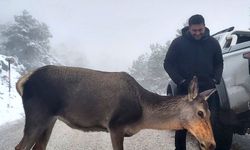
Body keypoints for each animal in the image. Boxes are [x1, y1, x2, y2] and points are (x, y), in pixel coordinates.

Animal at [15, 65, 215, 150]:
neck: (143, 116)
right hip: (38, 115)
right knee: (20, 147)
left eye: (210, 112)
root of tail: (23, 81)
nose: (211, 144)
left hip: (50, 120)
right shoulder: (115, 126)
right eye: (200, 113)